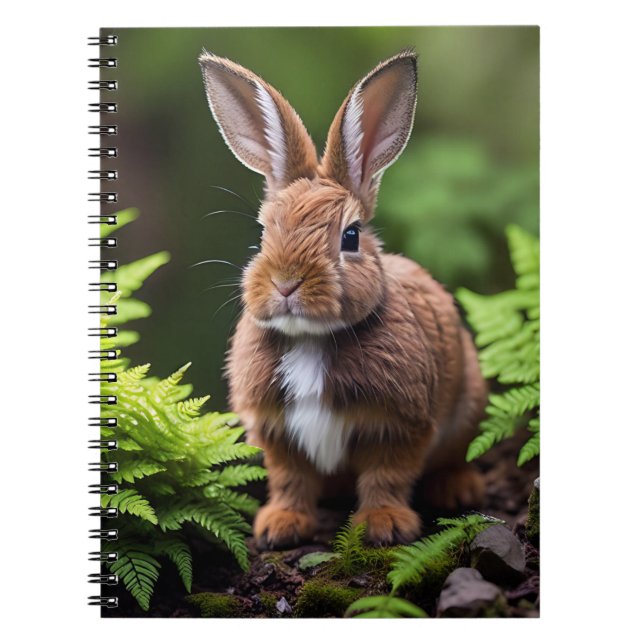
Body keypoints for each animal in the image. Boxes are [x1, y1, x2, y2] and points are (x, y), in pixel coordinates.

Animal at [199, 49, 488, 548]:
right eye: (263, 234)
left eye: (350, 236)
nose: (286, 283)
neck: (310, 339)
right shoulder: (277, 431)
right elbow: (290, 480)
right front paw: (279, 526)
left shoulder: (400, 425)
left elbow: (386, 476)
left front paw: (385, 525)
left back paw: (459, 489)